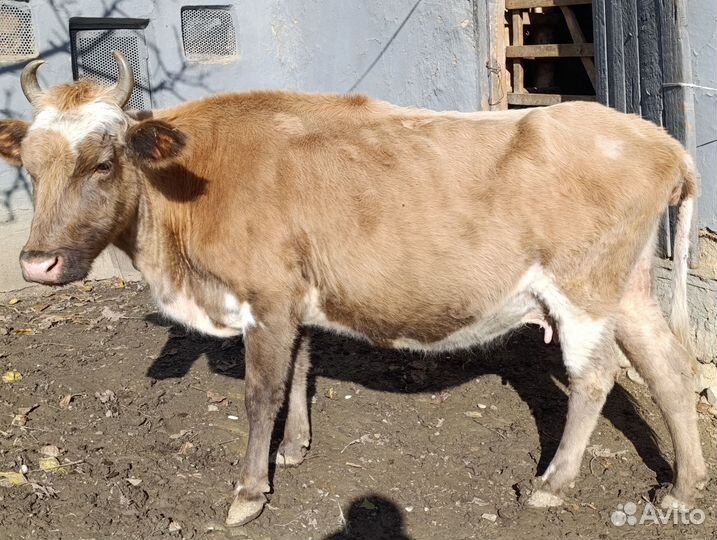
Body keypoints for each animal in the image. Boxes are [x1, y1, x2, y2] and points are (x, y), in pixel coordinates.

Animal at [0, 52, 707, 527]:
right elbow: (300, 371)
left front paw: (249, 493)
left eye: (103, 162)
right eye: (29, 167)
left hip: (583, 288)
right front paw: (294, 450)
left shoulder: (268, 296)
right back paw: (683, 487)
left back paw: (554, 485)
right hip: (628, 287)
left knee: (597, 378)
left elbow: (261, 393)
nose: (37, 264)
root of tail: (656, 137)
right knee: (669, 367)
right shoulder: (297, 297)